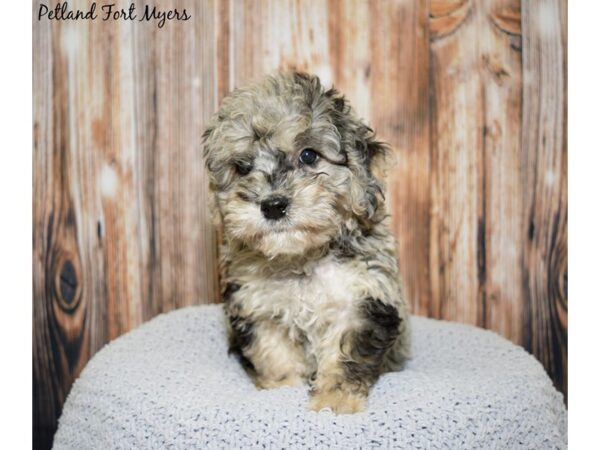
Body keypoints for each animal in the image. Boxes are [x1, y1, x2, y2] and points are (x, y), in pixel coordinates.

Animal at [204, 72, 410, 414]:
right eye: (242, 167)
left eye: (309, 155)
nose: (273, 205)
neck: (301, 258)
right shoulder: (257, 305)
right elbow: (274, 352)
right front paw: (282, 388)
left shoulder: (363, 299)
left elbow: (344, 354)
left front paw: (334, 400)